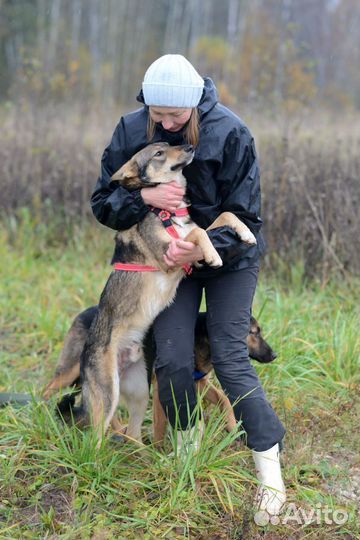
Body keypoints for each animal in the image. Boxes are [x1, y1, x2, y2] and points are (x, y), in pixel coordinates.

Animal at [45, 143, 258, 442]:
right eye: (158, 152)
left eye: (170, 145)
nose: (190, 146)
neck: (165, 211)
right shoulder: (170, 254)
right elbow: (200, 234)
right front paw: (214, 255)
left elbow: (223, 216)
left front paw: (246, 232)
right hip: (105, 394)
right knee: (91, 433)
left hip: (139, 392)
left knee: (132, 431)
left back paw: (137, 447)